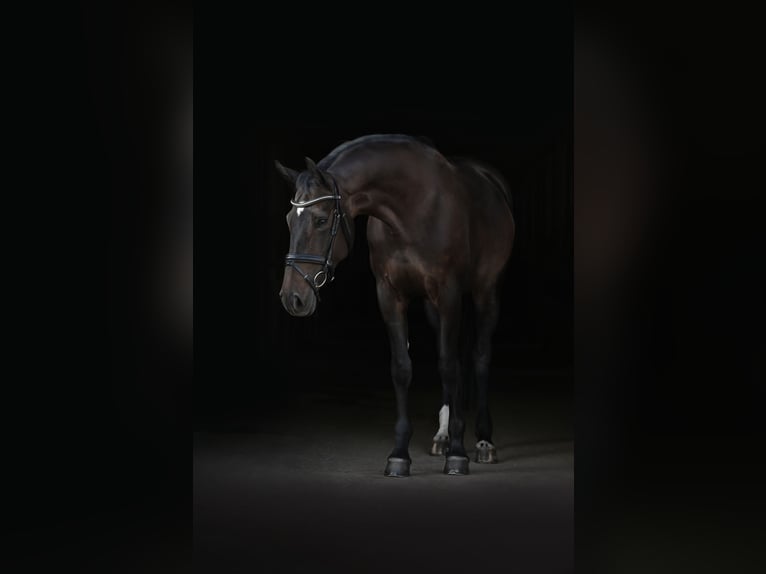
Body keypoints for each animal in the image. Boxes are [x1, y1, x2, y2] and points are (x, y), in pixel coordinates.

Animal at [275, 134, 515, 476]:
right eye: (288, 221)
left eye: (321, 220)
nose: (292, 298)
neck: (413, 210)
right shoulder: (390, 295)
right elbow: (402, 368)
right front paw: (400, 455)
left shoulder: (450, 293)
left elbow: (450, 366)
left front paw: (458, 455)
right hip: (433, 307)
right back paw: (442, 436)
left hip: (486, 293)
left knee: (480, 357)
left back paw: (483, 441)